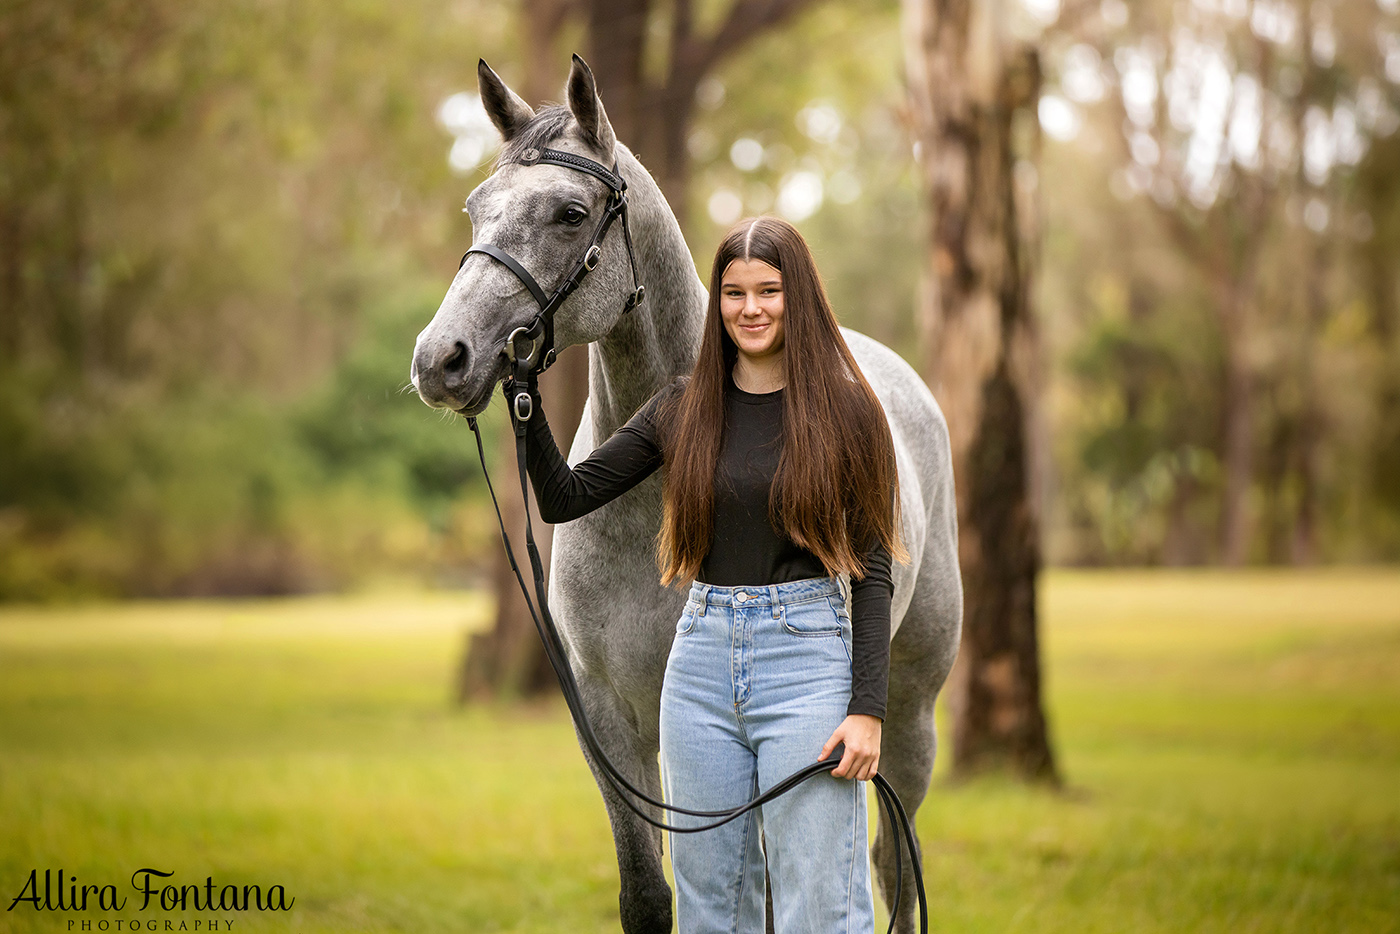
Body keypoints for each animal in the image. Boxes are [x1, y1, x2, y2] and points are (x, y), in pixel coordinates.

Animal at [408, 54, 963, 929]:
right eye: (475, 207)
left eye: (571, 213)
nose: (442, 359)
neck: (647, 511)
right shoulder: (613, 724)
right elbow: (647, 892)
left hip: (906, 710)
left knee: (892, 866)